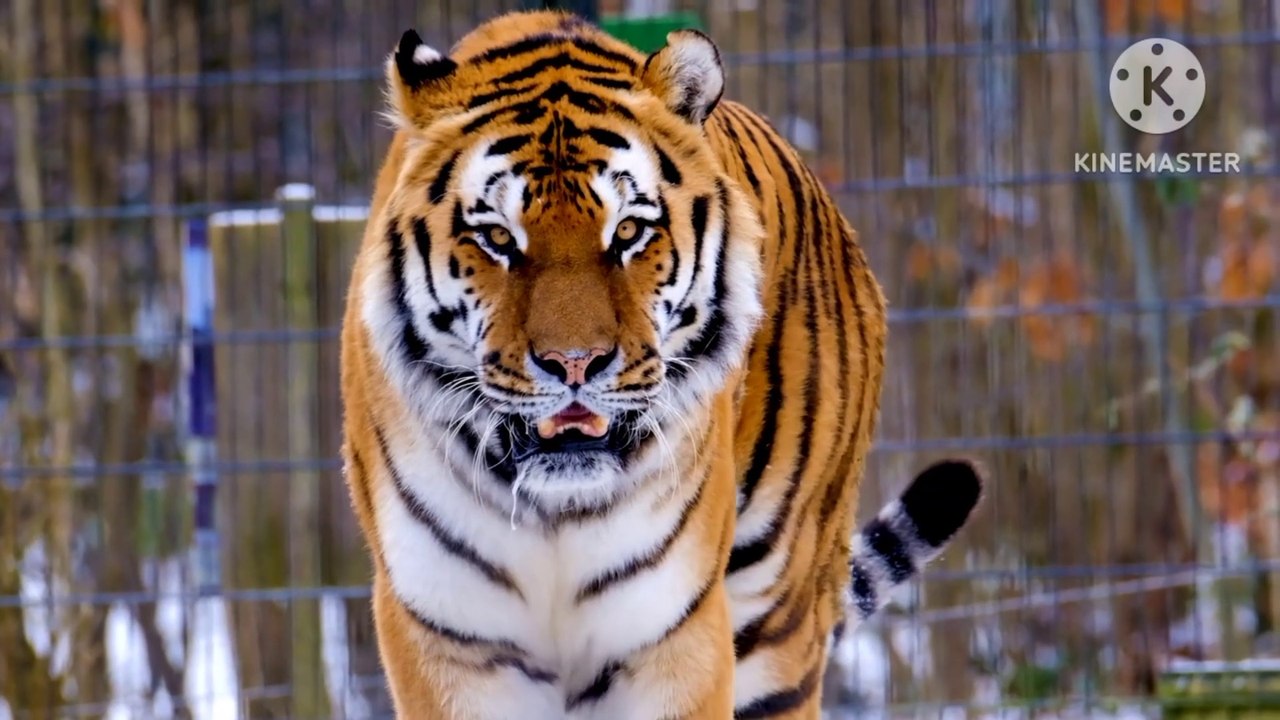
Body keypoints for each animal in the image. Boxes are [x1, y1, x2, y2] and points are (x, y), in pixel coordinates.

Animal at [338, 10, 982, 719]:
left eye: (627, 232)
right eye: (499, 238)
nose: (575, 363)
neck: (556, 512)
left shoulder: (672, 634)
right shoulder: (452, 643)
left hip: (779, 617)